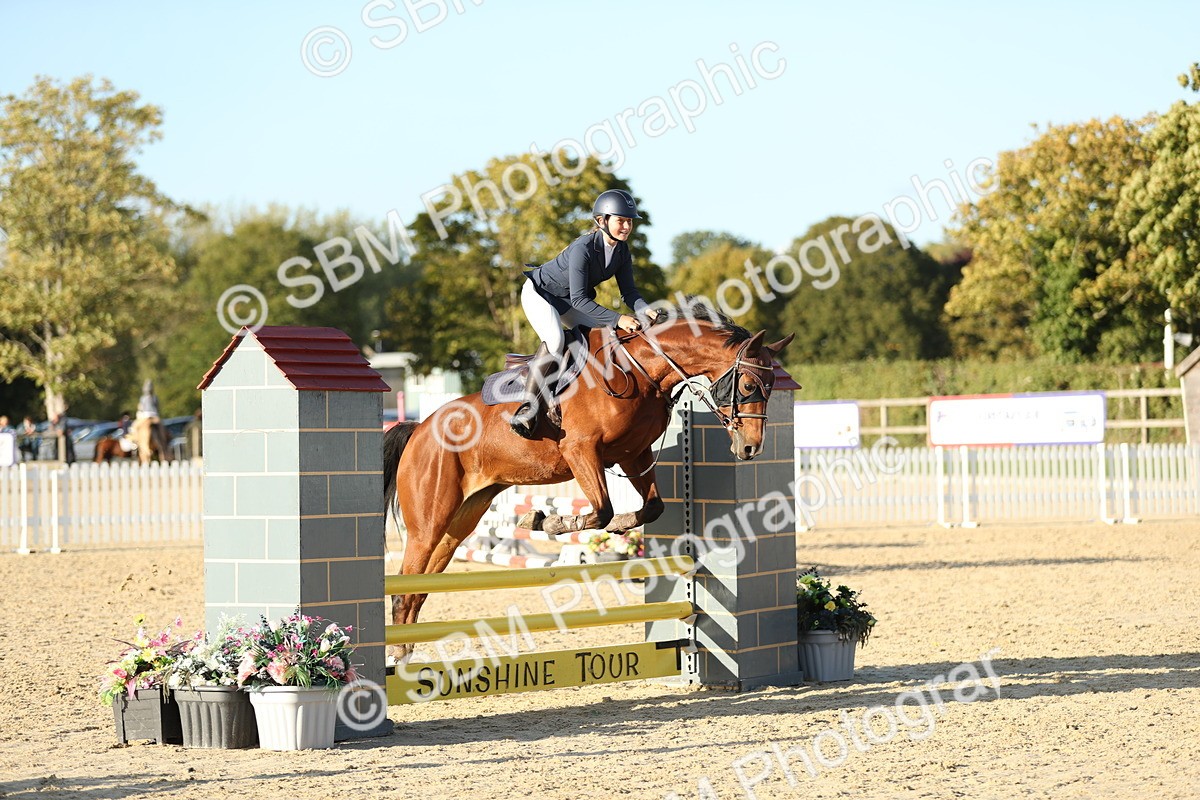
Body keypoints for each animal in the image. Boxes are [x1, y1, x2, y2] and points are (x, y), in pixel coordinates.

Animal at [382, 305, 794, 654]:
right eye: (748, 386)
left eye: (773, 387)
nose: (750, 448)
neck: (640, 370)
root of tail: (419, 429)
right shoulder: (581, 451)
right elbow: (600, 510)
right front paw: (546, 520)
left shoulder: (633, 454)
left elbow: (650, 507)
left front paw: (619, 525)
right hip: (429, 521)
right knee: (405, 584)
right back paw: (400, 657)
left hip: (462, 519)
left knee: (420, 587)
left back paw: (408, 651)